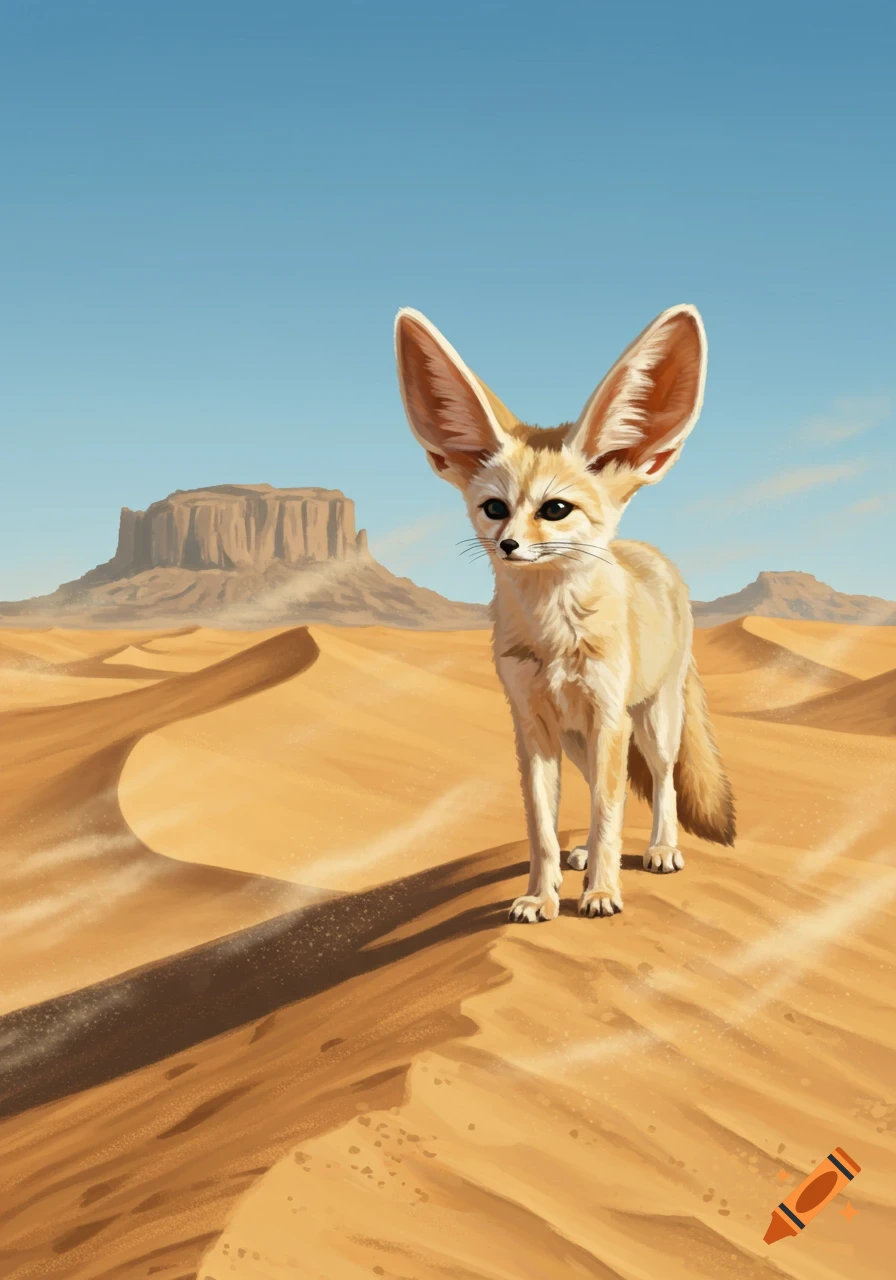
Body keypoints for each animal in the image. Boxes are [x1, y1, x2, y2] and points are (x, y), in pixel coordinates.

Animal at [393, 304, 735, 924]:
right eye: (495, 509)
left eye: (554, 510)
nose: (507, 545)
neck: (553, 636)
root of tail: (650, 552)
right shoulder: (530, 724)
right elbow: (541, 825)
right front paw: (540, 895)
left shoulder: (608, 717)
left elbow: (609, 811)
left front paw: (601, 893)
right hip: (578, 739)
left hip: (651, 720)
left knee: (663, 782)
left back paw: (660, 849)